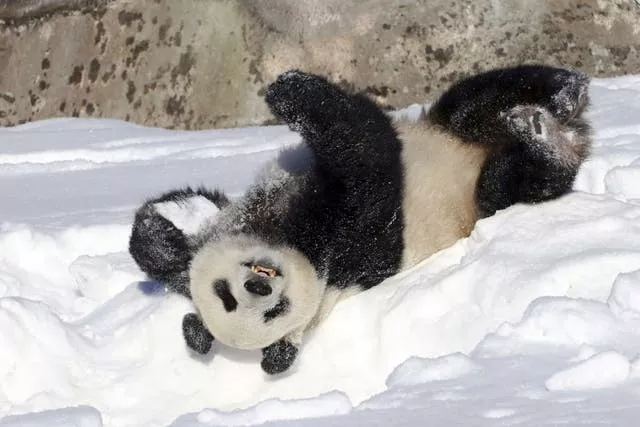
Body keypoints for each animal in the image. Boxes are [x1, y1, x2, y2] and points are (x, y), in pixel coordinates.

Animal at [127, 64, 592, 374]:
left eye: (224, 294)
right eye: (272, 313)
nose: (258, 286)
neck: (282, 232)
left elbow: (166, 243)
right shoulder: (352, 248)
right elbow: (366, 156)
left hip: (452, 128)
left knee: (480, 96)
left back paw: (562, 94)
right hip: (483, 196)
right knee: (514, 181)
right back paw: (545, 139)